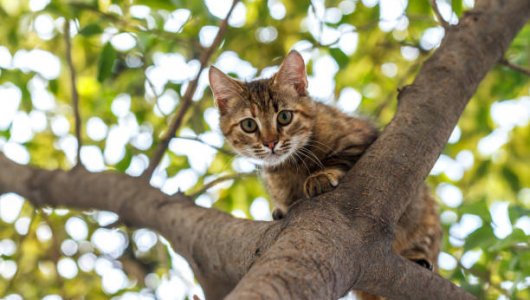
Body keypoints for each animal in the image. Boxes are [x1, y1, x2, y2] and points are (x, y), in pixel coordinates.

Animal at [208, 50, 440, 298]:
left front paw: (320, 176)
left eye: (284, 117)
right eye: (249, 125)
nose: (270, 142)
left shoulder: (360, 139)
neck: (290, 167)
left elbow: (339, 159)